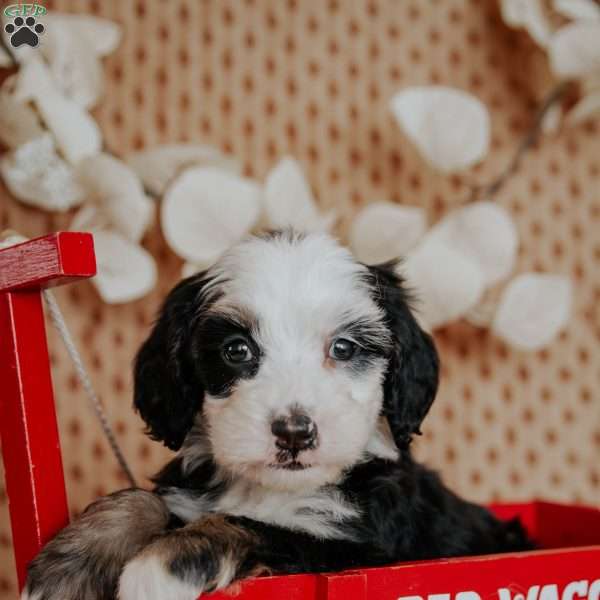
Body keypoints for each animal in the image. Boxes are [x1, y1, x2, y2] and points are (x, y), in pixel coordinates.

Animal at [22, 231, 528, 600]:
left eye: (344, 348)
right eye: (236, 350)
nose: (294, 432)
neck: (273, 489)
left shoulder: (358, 548)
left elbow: (254, 526)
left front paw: (162, 566)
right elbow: (143, 500)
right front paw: (67, 569)